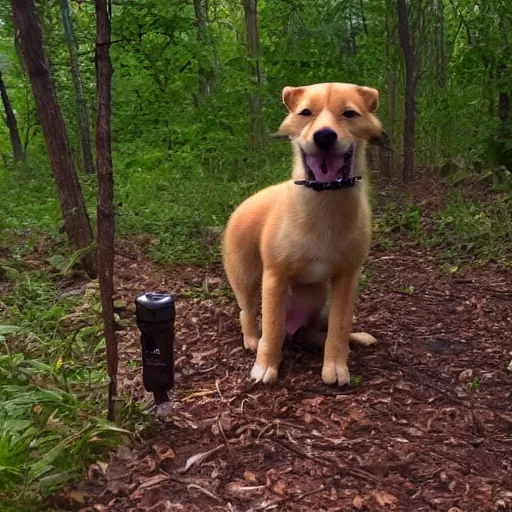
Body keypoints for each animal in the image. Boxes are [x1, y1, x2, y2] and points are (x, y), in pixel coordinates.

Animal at [221, 82, 384, 386]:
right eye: (306, 112)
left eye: (350, 114)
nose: (324, 136)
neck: (325, 207)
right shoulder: (274, 276)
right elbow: (271, 328)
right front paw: (265, 367)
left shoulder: (347, 278)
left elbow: (339, 328)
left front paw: (336, 365)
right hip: (246, 278)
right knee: (247, 312)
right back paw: (252, 340)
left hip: (317, 298)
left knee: (314, 332)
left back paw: (353, 340)